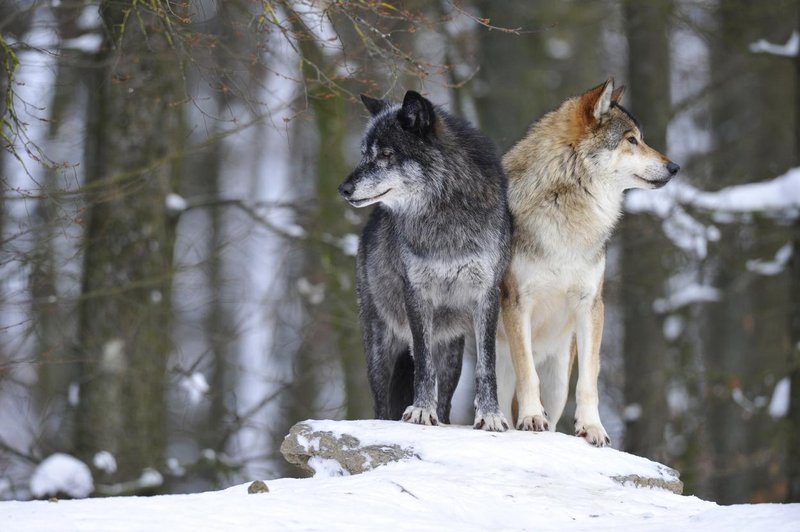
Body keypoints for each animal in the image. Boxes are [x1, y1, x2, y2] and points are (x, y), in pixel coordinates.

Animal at [496, 78, 680, 444]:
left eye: (641, 138)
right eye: (632, 140)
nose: (674, 167)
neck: (567, 209)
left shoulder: (591, 304)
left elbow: (589, 380)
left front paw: (592, 428)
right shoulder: (517, 302)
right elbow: (527, 374)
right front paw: (531, 417)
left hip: (558, 378)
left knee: (555, 410)